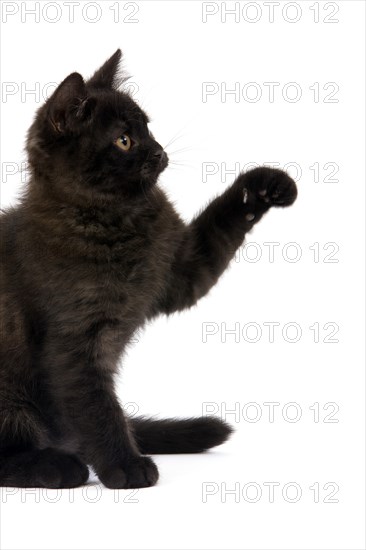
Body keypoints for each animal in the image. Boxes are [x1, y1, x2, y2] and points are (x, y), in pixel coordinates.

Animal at [0, 50, 298, 492]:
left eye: (148, 128)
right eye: (124, 140)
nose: (159, 152)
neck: (119, 219)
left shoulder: (180, 271)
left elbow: (221, 223)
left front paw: (263, 186)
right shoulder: (73, 342)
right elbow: (97, 407)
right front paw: (126, 466)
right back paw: (56, 465)